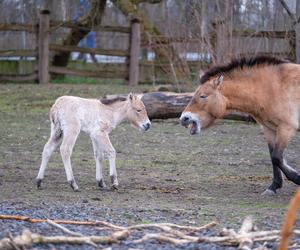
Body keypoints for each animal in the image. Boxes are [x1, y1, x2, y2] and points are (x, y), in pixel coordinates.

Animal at [179, 56, 300, 195]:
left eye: (203, 96)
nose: (184, 118)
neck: (271, 88)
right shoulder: (269, 129)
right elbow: (273, 157)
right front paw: (273, 186)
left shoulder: (286, 128)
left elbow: (277, 157)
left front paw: (297, 178)